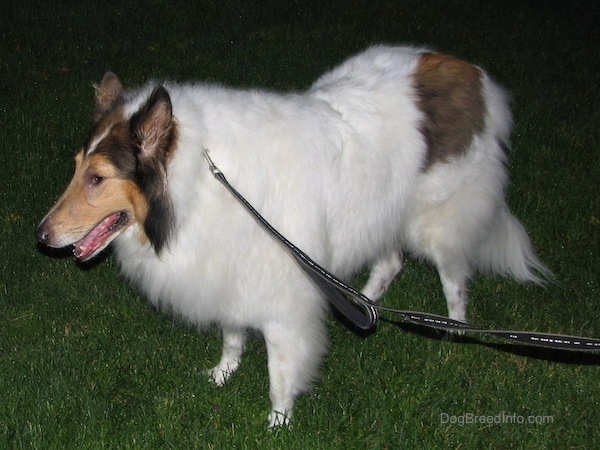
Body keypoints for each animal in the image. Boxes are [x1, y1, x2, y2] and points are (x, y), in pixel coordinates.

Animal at [37, 46, 552, 428]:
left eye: (98, 178)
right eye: (77, 167)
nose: (42, 236)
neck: (202, 183)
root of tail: (470, 71)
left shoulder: (281, 296)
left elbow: (279, 370)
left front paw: (277, 422)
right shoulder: (232, 270)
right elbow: (232, 335)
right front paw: (221, 375)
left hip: (437, 221)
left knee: (455, 280)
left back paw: (452, 338)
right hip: (378, 211)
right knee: (389, 263)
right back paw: (358, 305)